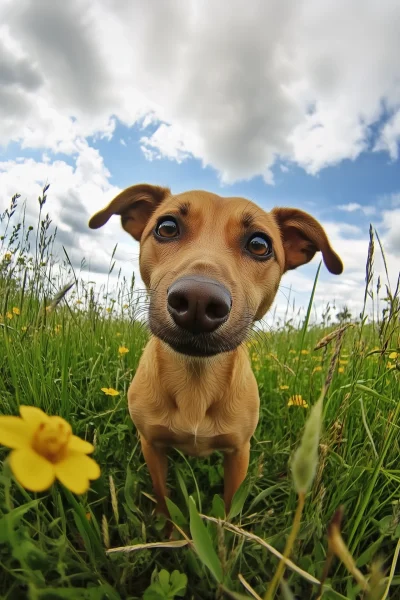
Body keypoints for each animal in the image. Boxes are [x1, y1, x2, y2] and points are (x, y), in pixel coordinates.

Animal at [89, 184, 342, 520]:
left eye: (259, 244)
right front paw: (169, 528)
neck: (196, 378)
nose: (198, 300)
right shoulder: (152, 445)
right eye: (166, 227)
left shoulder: (239, 452)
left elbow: (228, 506)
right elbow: (163, 496)